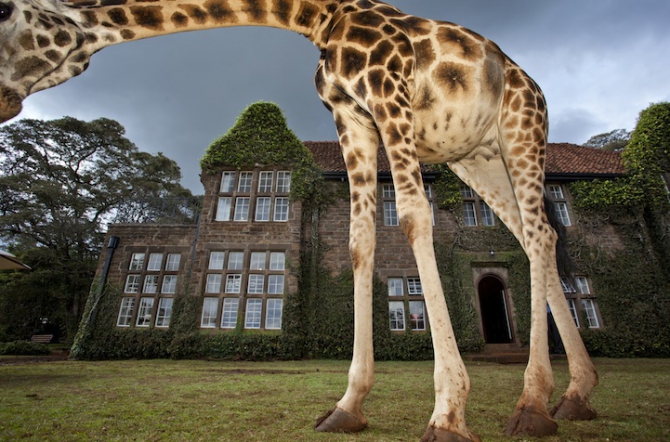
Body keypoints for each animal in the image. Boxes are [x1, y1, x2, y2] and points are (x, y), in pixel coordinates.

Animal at [0, 0, 599, 439]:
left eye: (7, 14)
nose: (6, 97)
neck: (322, 18)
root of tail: (532, 86)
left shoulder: (390, 96)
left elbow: (411, 217)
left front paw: (448, 413)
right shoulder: (353, 118)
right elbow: (360, 241)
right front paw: (348, 405)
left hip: (519, 133)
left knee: (538, 231)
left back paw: (533, 404)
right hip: (476, 158)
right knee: (534, 236)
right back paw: (573, 395)